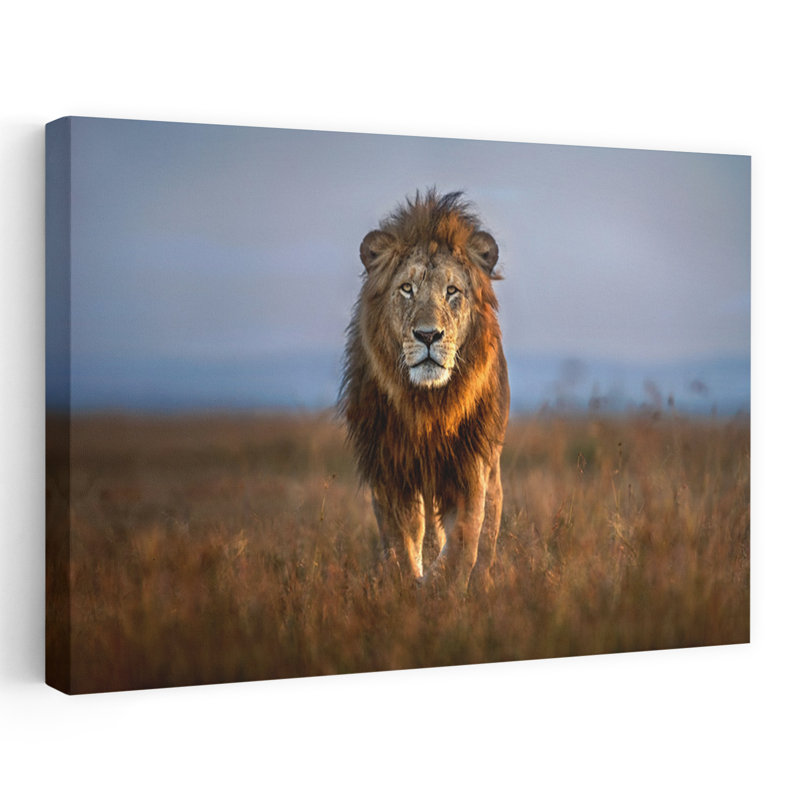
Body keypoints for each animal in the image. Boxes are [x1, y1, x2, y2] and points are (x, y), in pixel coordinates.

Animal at [339, 190, 509, 590]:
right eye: (407, 288)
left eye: (452, 291)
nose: (428, 335)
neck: (428, 404)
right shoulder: (389, 469)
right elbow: (402, 540)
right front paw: (409, 585)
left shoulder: (470, 466)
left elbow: (465, 539)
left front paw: (441, 588)